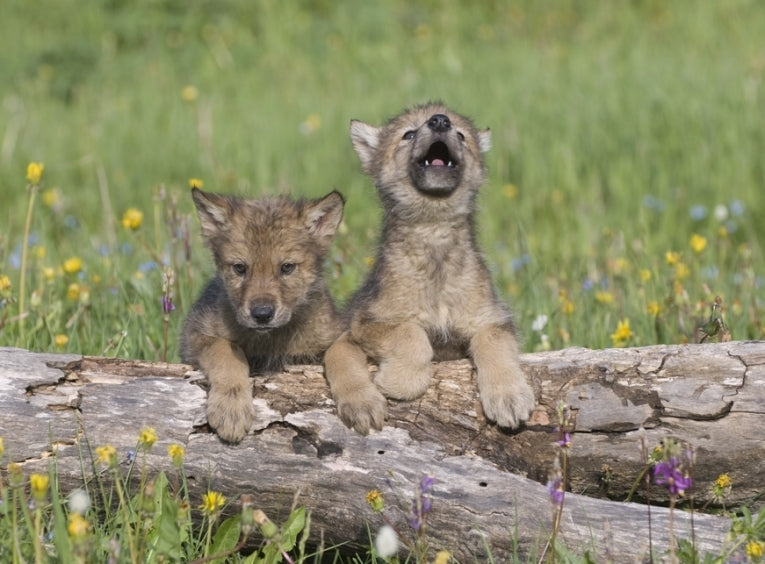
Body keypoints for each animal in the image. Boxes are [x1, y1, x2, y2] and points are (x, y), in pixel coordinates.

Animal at [180, 188, 345, 443]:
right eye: (240, 268)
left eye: (287, 267)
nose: (262, 314)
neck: (271, 341)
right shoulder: (196, 334)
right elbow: (225, 350)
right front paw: (231, 408)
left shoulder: (333, 333)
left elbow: (342, 351)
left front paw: (363, 402)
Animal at [324, 102, 536, 434]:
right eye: (408, 134)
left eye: (461, 135)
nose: (439, 121)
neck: (434, 234)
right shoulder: (370, 321)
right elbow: (411, 334)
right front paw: (401, 382)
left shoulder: (492, 319)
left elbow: (494, 344)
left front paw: (509, 397)